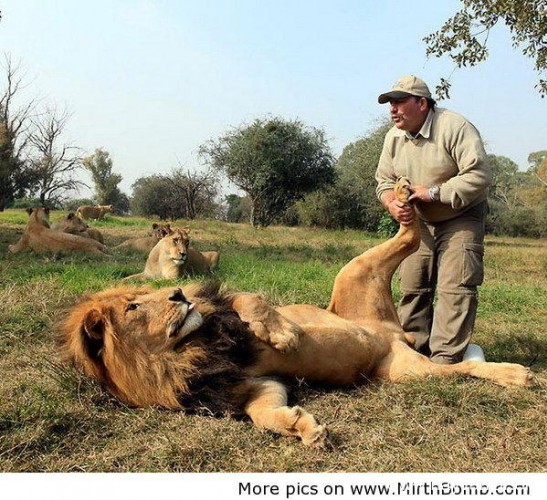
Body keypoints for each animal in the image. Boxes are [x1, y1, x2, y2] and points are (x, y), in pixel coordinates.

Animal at [58, 179, 534, 446]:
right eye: (135, 306)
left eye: (143, 294)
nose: (177, 293)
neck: (183, 353)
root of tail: (393, 333)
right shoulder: (251, 387)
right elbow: (263, 413)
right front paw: (302, 428)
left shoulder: (227, 308)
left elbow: (251, 302)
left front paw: (285, 335)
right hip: (404, 371)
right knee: (457, 367)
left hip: (354, 271)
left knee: (409, 234)